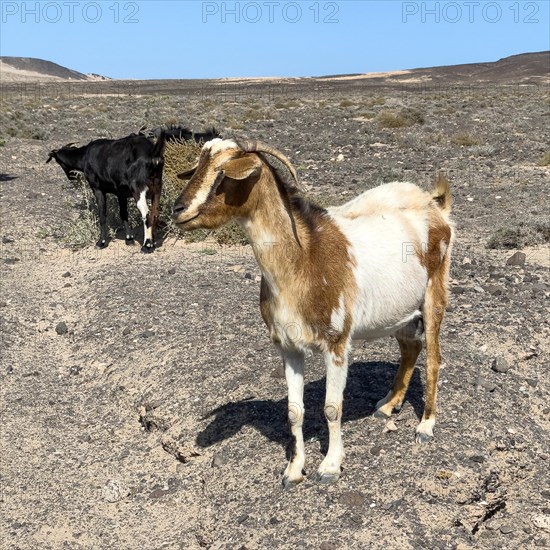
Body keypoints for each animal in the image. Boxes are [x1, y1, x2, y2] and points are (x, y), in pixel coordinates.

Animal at [175, 140, 454, 490]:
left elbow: (332, 408)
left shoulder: (336, 343)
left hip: (435, 293)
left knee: (433, 358)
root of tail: (436, 206)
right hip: (399, 310)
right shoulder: (288, 347)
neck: (304, 258)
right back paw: (389, 405)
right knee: (410, 347)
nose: (178, 209)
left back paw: (426, 425)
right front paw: (294, 470)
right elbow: (295, 412)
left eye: (223, 174)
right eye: (199, 166)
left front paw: (331, 466)